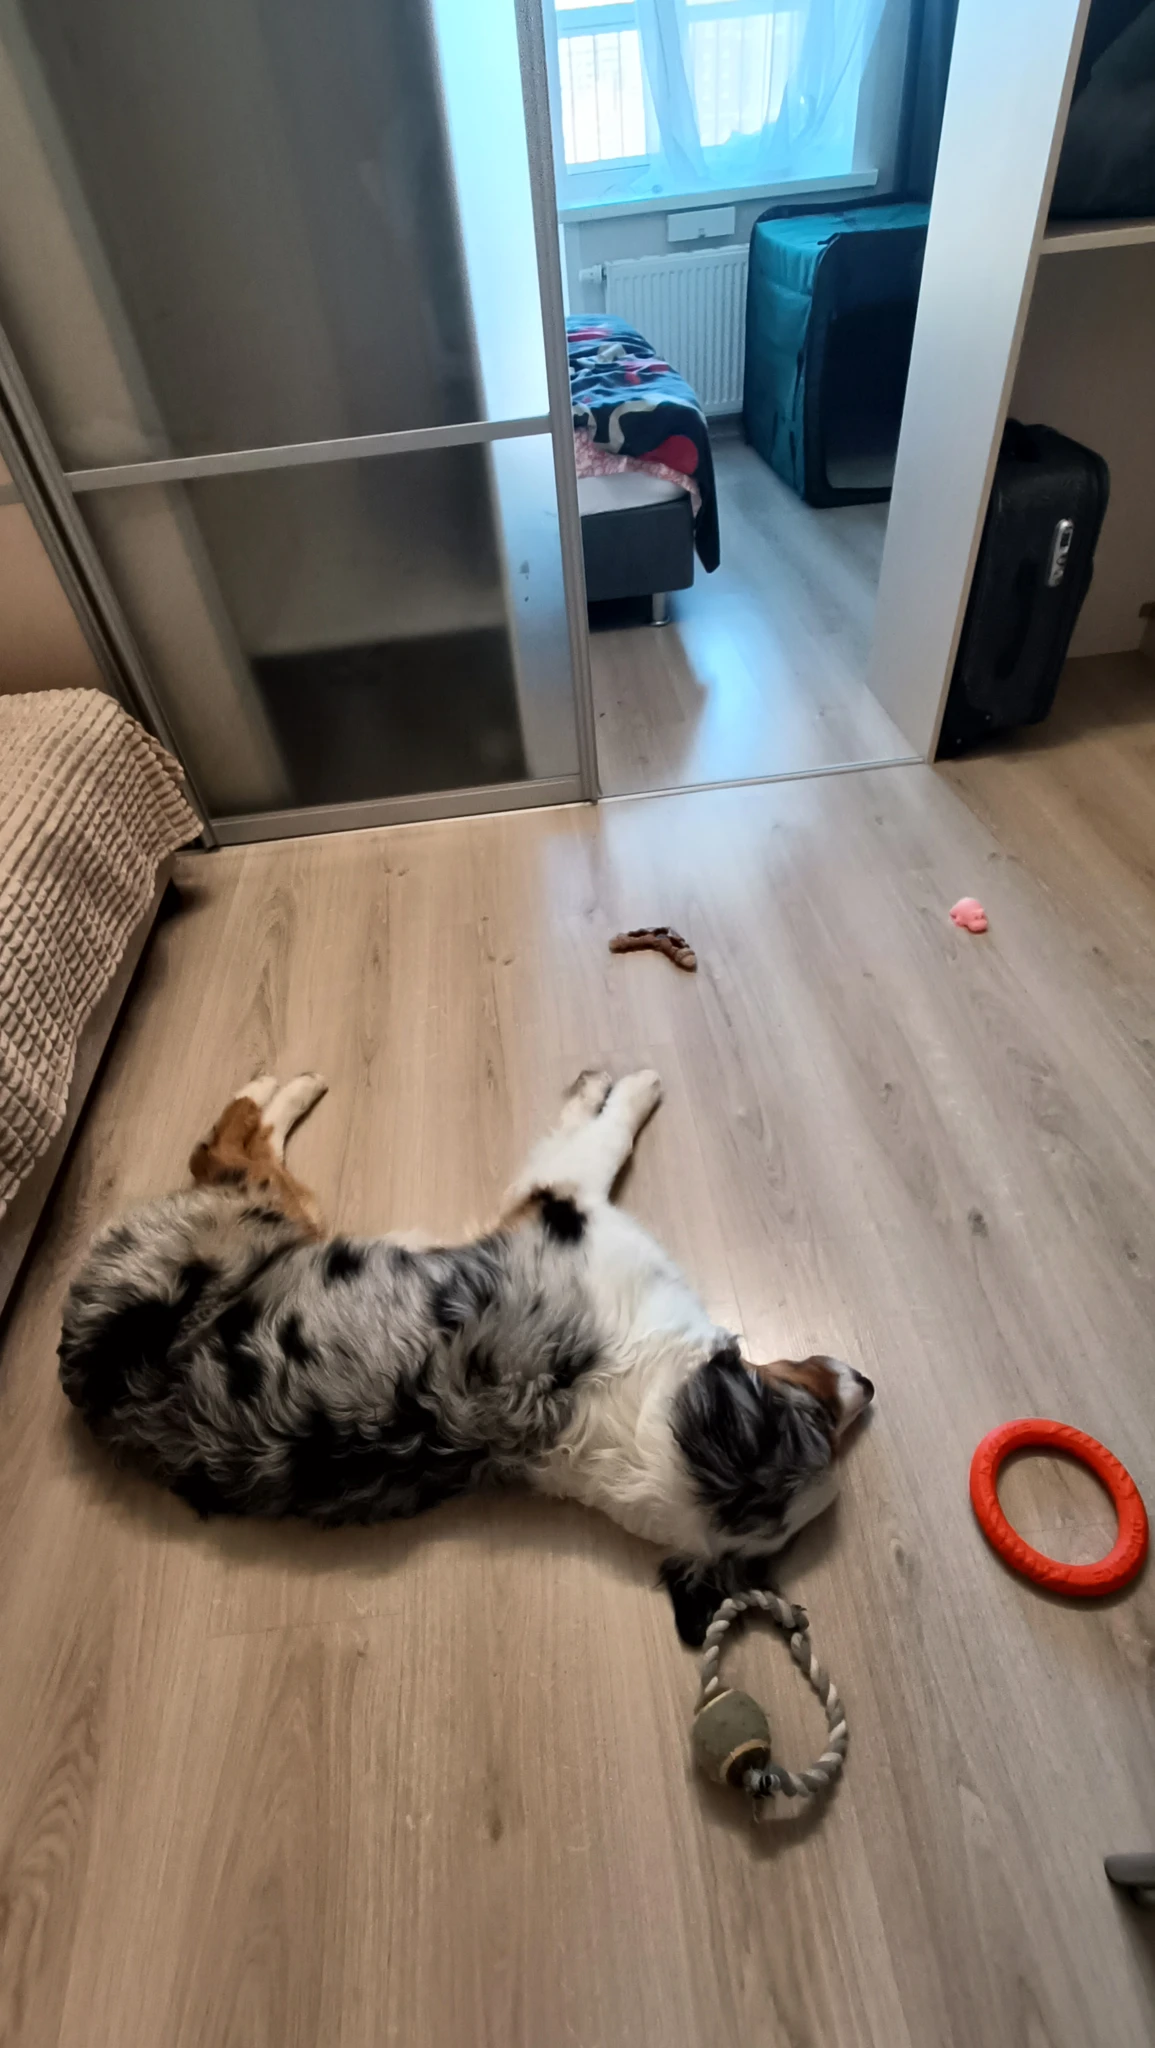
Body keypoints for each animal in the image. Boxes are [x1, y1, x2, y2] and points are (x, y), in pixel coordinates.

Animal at [59, 1069, 873, 1644]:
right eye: (813, 1412)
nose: (867, 1383)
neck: (633, 1405)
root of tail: (83, 1370)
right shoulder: (569, 1204)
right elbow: (604, 1135)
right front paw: (626, 1086)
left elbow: (596, 1136)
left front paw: (613, 1087)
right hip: (263, 1222)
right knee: (228, 1146)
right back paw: (290, 1086)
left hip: (277, 1220)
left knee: (228, 1151)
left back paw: (288, 1086)